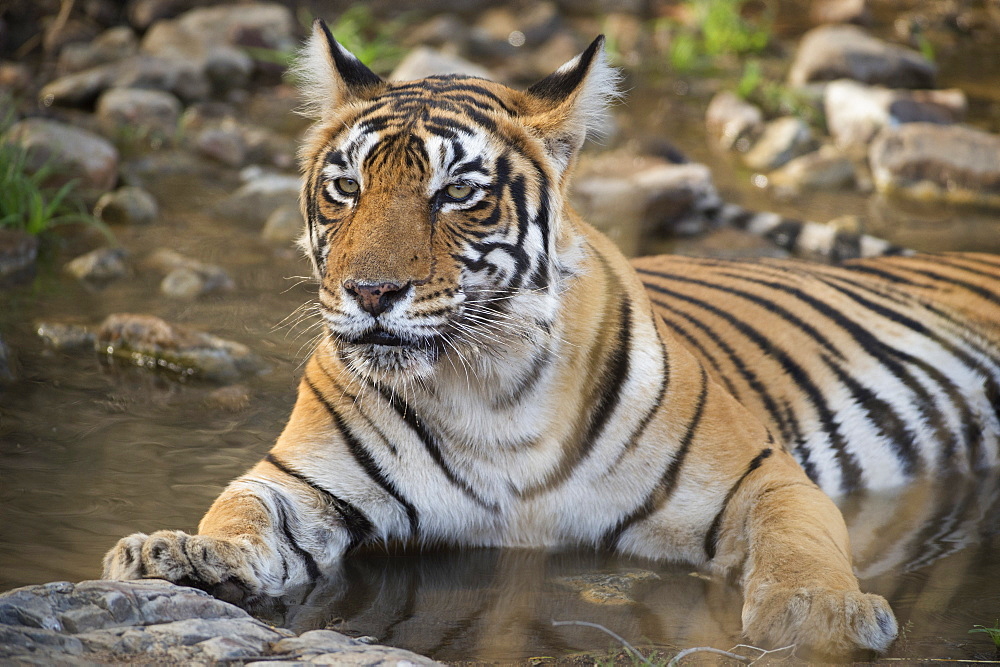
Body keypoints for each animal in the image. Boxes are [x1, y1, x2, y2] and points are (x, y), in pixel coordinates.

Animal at [101, 22, 1000, 656]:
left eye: (457, 193)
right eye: (346, 187)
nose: (370, 292)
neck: (486, 381)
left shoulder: (761, 473)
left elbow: (800, 542)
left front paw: (820, 614)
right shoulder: (299, 479)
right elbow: (241, 510)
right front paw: (177, 551)